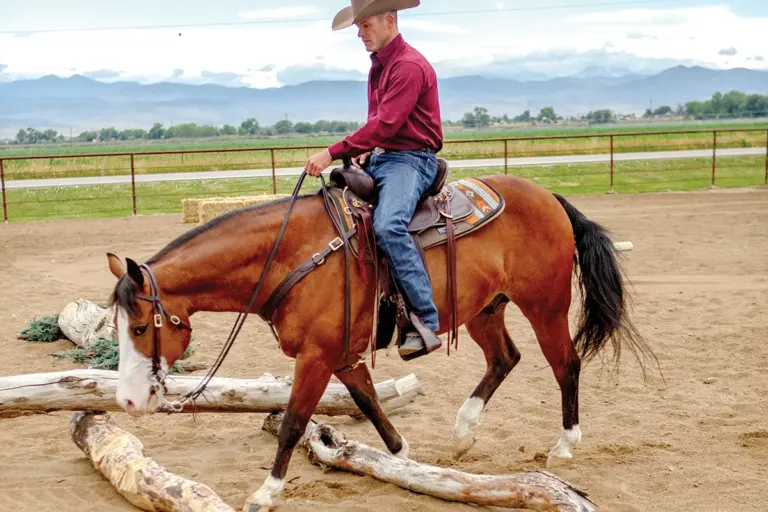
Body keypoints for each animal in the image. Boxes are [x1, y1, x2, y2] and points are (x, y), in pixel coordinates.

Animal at [105, 171, 654, 511]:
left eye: (139, 328)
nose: (128, 401)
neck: (290, 255)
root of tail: (547, 197)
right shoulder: (344, 357)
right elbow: (371, 406)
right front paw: (405, 461)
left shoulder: (317, 356)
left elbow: (294, 422)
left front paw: (266, 492)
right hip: (485, 308)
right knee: (505, 358)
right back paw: (463, 432)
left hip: (545, 305)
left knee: (565, 364)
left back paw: (563, 446)